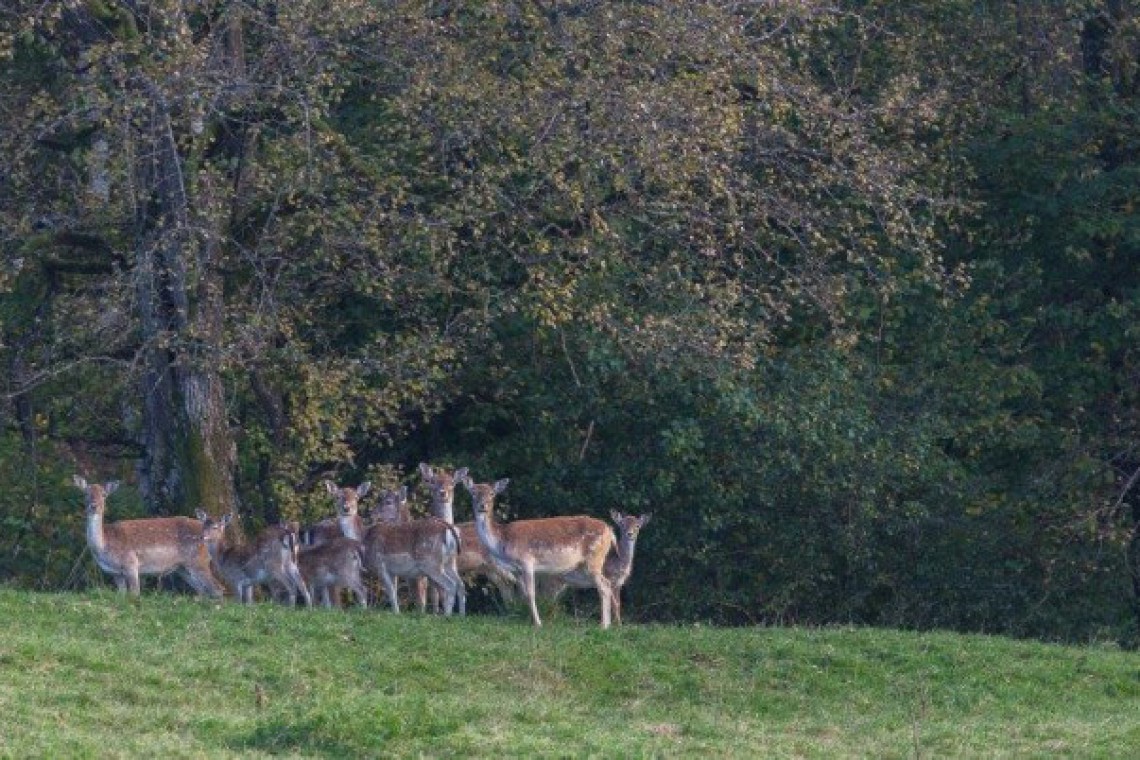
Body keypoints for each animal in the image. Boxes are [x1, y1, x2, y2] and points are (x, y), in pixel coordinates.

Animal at [74, 476, 224, 601]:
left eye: (104, 495)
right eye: (86, 493)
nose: (94, 506)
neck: (104, 546)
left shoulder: (131, 563)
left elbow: (135, 593)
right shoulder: (115, 573)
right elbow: (122, 594)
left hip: (199, 561)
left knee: (217, 589)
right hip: (183, 568)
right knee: (203, 590)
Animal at [456, 476, 620, 628]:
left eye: (492, 493)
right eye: (473, 492)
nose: (482, 506)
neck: (502, 541)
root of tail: (610, 531)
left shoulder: (527, 560)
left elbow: (531, 593)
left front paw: (538, 623)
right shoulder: (516, 570)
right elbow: (522, 594)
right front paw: (526, 618)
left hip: (594, 558)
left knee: (604, 585)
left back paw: (603, 625)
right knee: (607, 584)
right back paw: (607, 624)